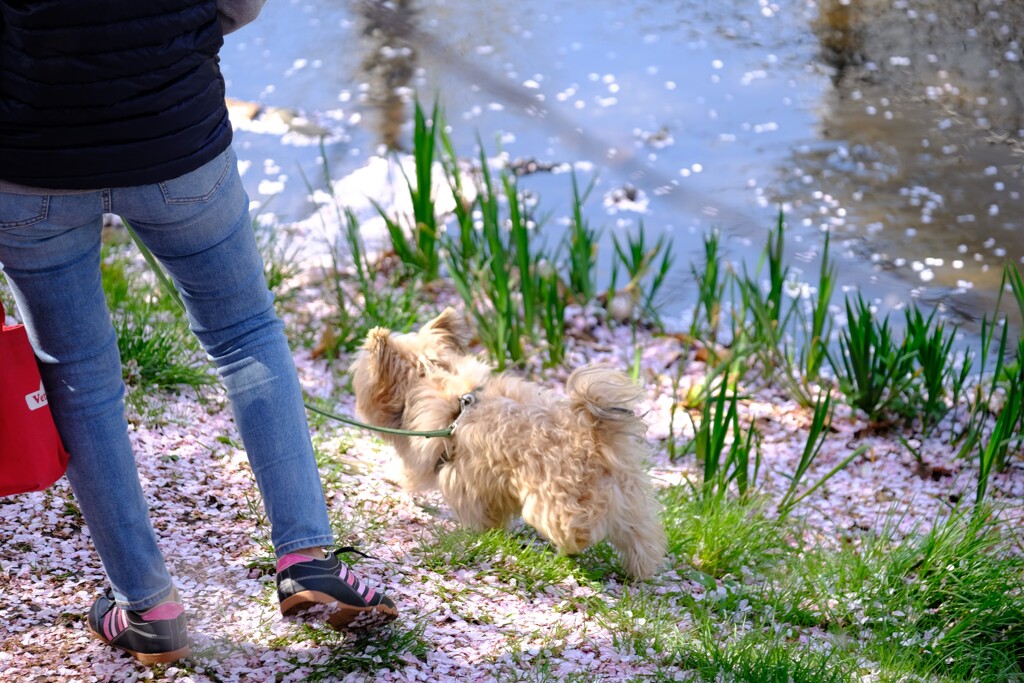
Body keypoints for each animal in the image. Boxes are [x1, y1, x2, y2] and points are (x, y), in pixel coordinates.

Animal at [352, 307, 667, 581]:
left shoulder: (464, 480)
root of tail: (593, 433)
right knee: (641, 537)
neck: (437, 382)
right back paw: (639, 571)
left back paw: (570, 547)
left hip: (555, 502)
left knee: (577, 529)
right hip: (630, 502)